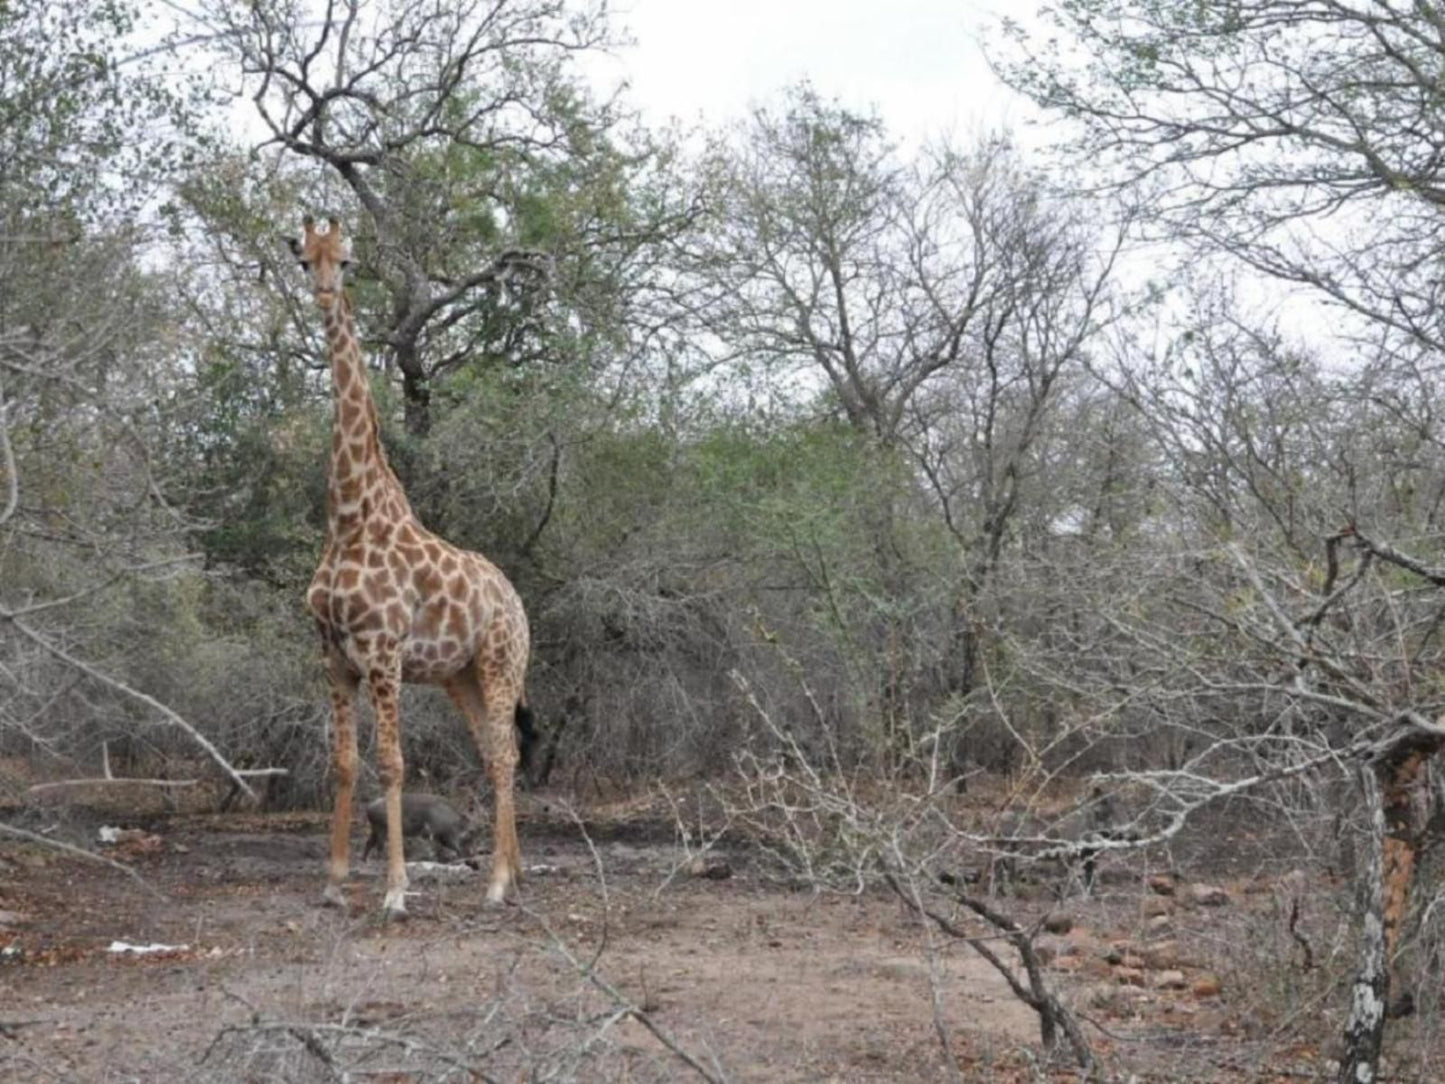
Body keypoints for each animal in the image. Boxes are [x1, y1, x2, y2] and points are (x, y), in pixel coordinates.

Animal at [284, 216, 534, 919]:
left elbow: (393, 764)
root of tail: (517, 603)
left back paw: (498, 882)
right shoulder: (334, 657)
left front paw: (396, 890)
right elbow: (344, 763)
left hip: (502, 664)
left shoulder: (383, 651)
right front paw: (334, 880)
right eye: (303, 257)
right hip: (461, 676)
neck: (348, 518)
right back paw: (512, 873)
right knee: (495, 751)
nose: (324, 293)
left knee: (505, 755)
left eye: (345, 259)